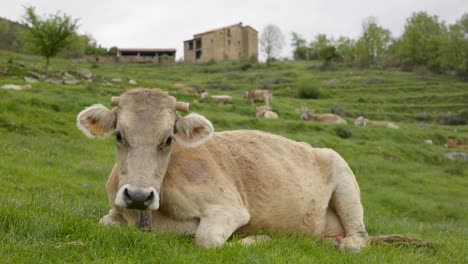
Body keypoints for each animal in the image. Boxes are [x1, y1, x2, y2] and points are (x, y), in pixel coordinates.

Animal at [77, 88, 432, 252]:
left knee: (360, 239)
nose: (138, 195)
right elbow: (102, 223)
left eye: (168, 139)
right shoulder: (113, 215)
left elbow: (207, 239)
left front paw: (256, 239)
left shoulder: (228, 208)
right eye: (119, 135)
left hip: (345, 181)